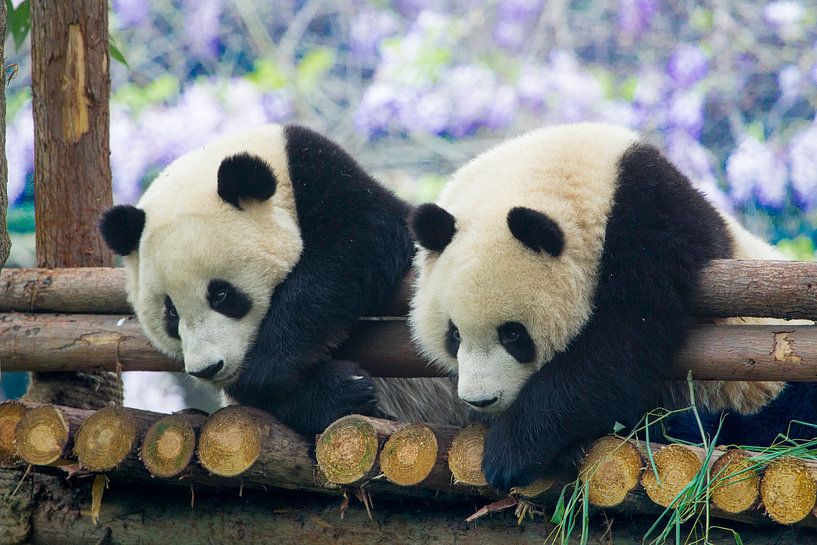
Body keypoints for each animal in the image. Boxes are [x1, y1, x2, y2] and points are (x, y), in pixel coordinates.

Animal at [99, 124, 469, 436]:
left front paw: (268, 365)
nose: (207, 368)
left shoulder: (326, 177)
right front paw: (344, 389)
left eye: (221, 294)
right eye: (171, 312)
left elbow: (361, 243)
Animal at [408, 122, 817, 490]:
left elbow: (619, 347)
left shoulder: (653, 226)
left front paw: (509, 452)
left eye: (513, 334)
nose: (481, 399)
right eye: (454, 334)